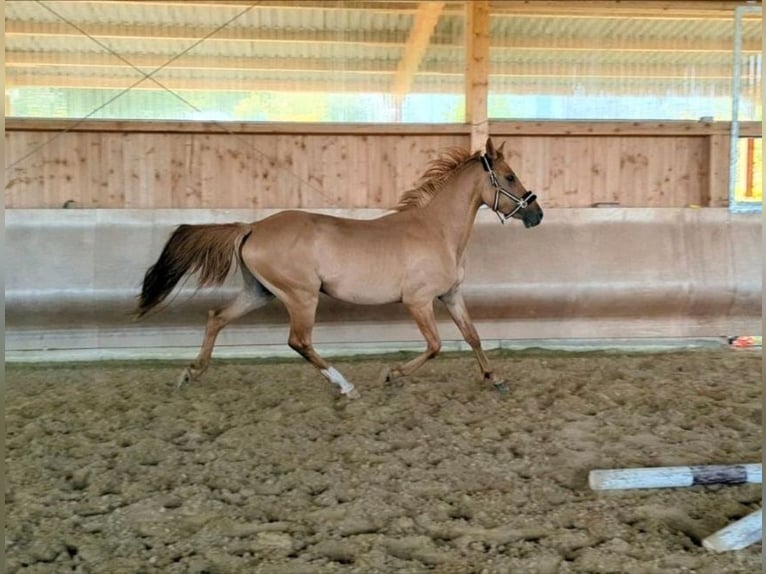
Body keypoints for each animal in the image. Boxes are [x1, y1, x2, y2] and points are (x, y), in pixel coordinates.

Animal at [140, 140, 544, 400]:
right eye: (509, 176)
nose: (536, 214)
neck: (437, 230)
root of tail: (252, 226)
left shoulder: (451, 295)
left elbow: (473, 336)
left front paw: (496, 379)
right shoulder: (418, 301)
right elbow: (435, 345)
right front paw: (390, 375)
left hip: (260, 292)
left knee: (216, 317)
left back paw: (191, 373)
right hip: (301, 296)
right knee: (298, 341)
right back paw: (346, 387)